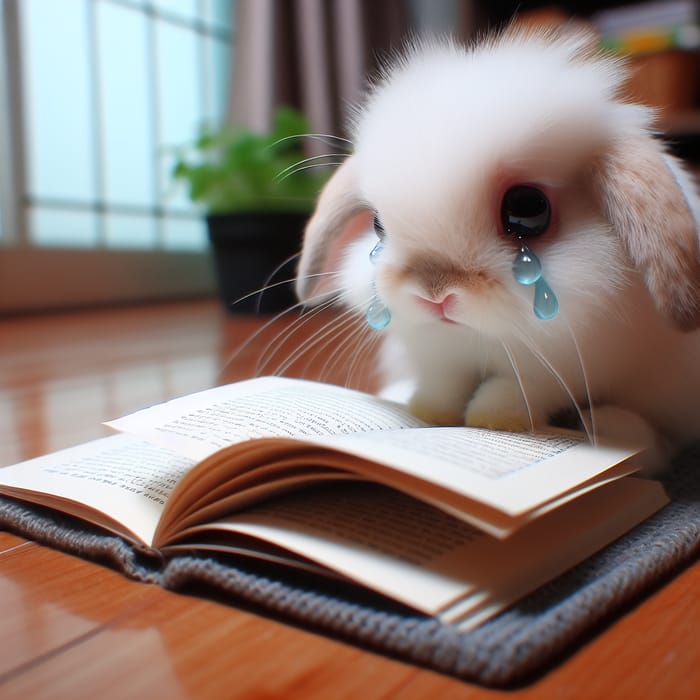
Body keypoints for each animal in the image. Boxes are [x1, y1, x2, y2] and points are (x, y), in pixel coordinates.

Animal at [294, 24, 700, 474]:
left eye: (527, 210)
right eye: (377, 225)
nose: (435, 295)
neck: (478, 340)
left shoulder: (561, 365)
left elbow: (518, 391)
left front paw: (493, 420)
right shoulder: (442, 358)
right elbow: (442, 384)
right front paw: (428, 411)